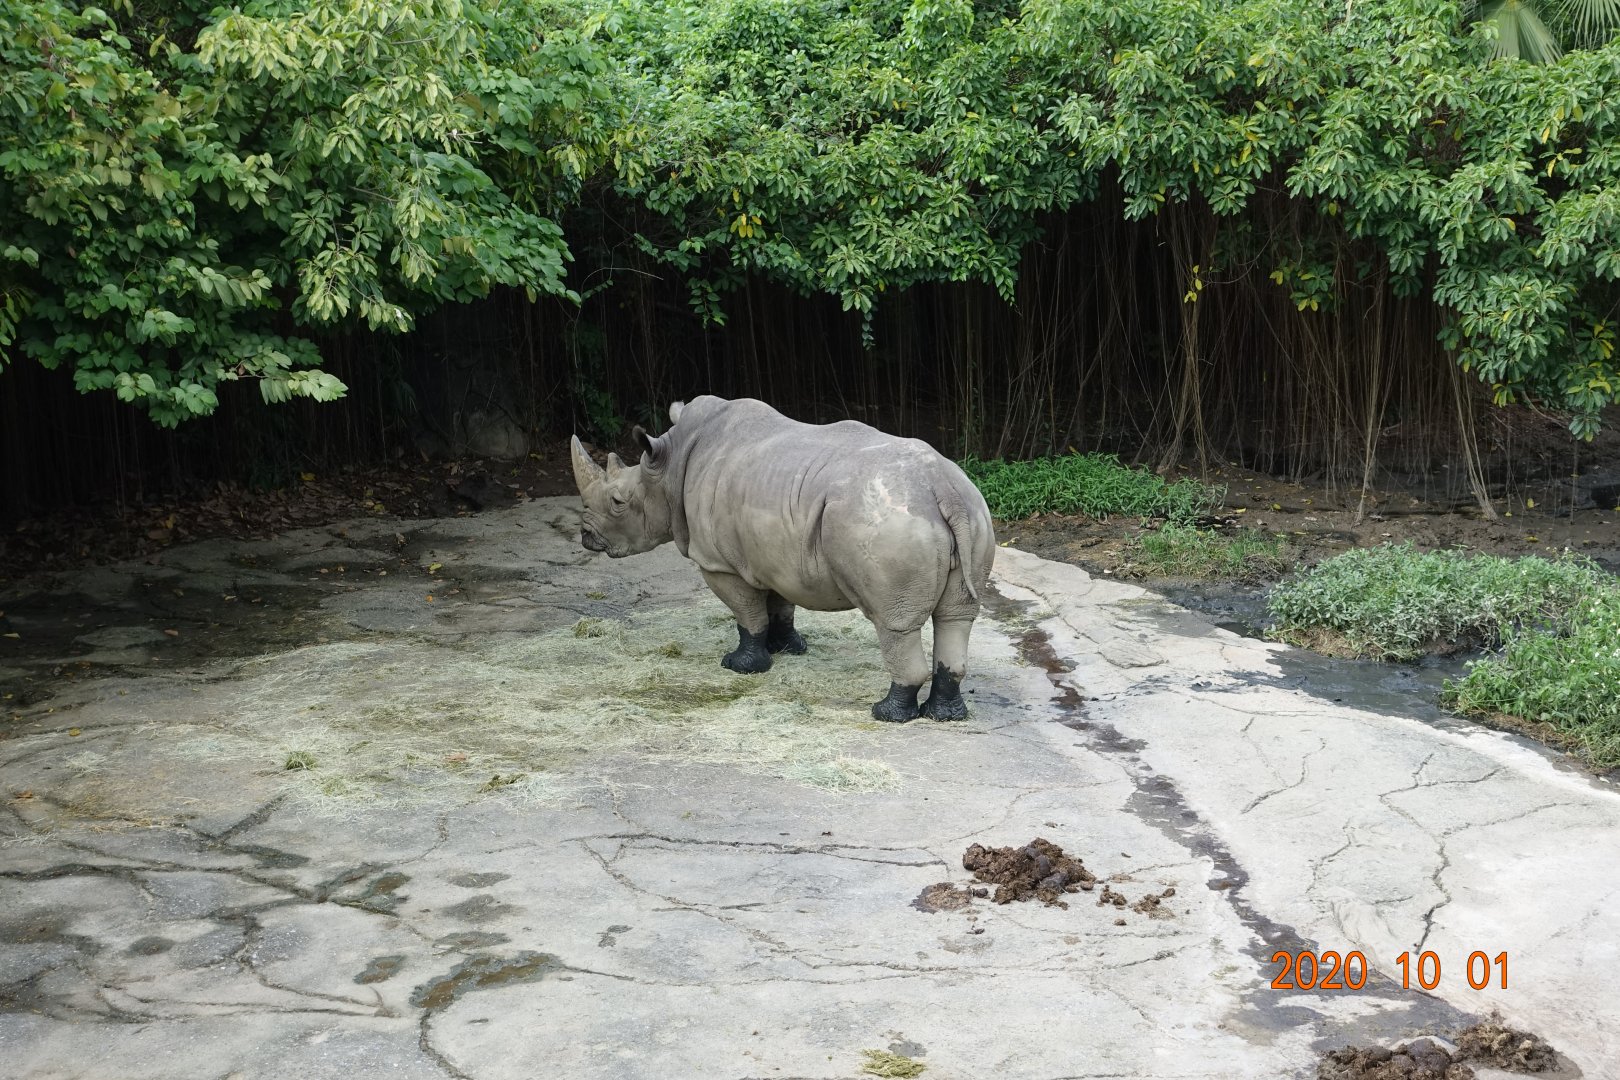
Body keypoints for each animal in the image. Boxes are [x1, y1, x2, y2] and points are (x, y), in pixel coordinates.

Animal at [570, 396, 995, 722]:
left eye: (618, 502)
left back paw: (886, 714)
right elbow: (779, 603)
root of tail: (942, 489)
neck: (669, 465)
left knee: (895, 622)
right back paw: (946, 715)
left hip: (888, 521)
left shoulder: (719, 563)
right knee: (956, 618)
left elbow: (747, 613)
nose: (586, 536)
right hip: (972, 513)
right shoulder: (775, 550)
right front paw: (789, 648)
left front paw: (740, 665)